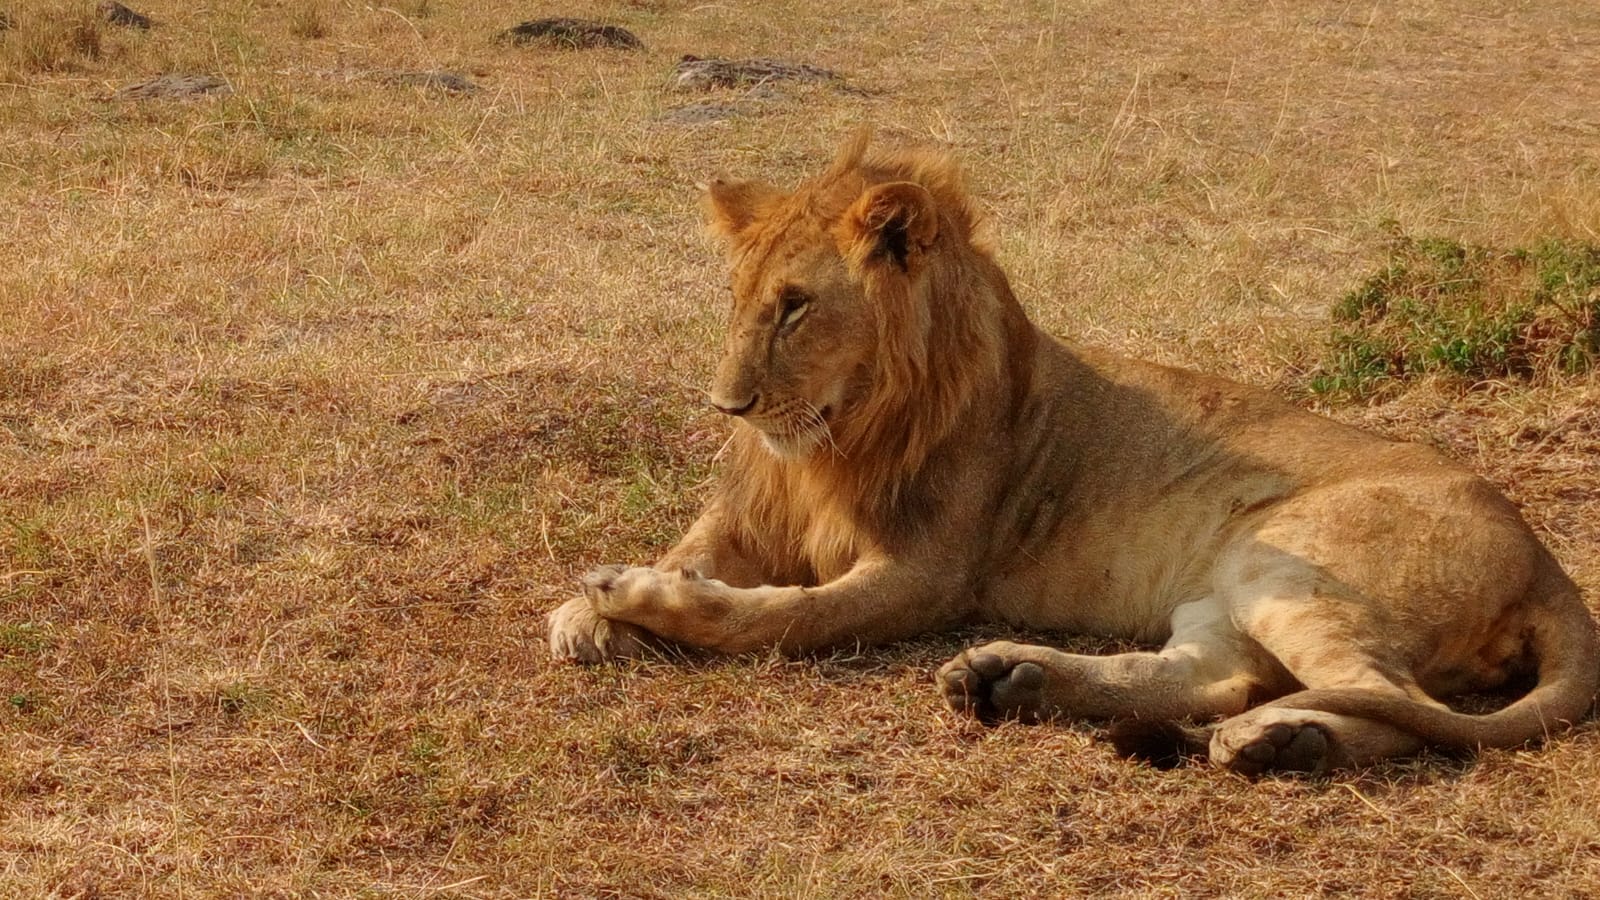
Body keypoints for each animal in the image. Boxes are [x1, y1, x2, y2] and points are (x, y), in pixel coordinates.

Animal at [547, 132, 1599, 774]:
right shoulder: (751, 509)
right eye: (738, 299)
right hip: (1230, 588)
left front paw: (630, 595)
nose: (727, 404)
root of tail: (1545, 560)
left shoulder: (927, 574)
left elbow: (784, 616)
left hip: (1290, 559)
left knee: (1388, 698)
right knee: (1211, 673)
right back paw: (1010, 680)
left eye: (796, 307)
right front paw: (587, 615)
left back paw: (1278, 739)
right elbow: (695, 551)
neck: (834, 435)